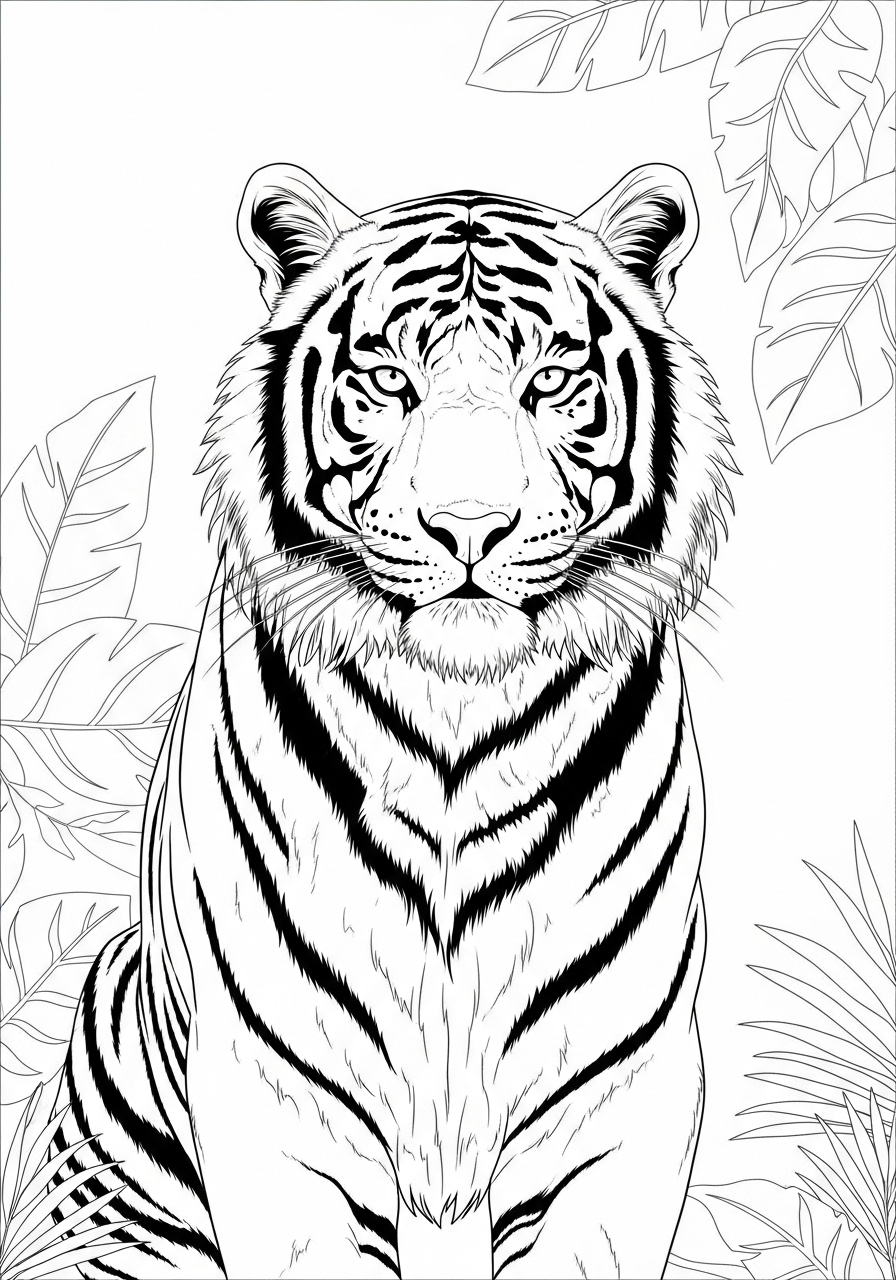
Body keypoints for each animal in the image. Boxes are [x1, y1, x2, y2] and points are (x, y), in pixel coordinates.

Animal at [52, 161, 734, 1279]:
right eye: (386, 383)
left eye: (549, 382)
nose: (468, 527)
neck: (458, 717)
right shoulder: (275, 1107)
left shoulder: (617, 1103)